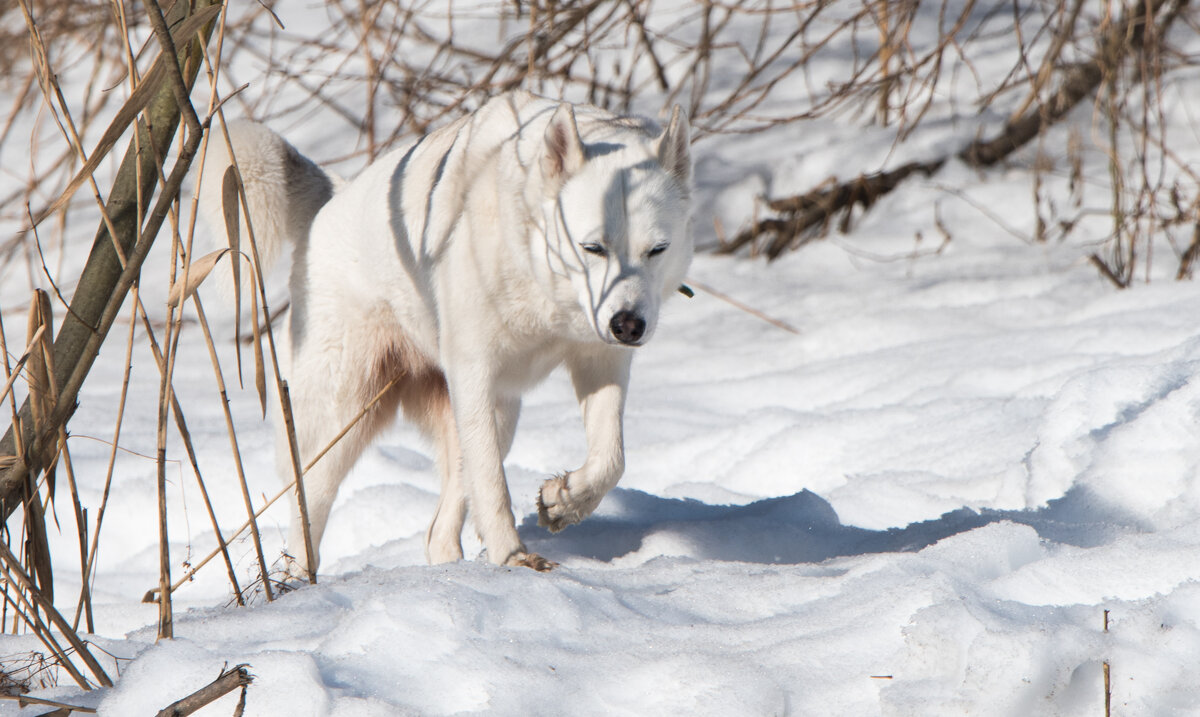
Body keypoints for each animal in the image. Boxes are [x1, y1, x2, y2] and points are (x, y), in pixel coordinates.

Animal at [200, 91, 696, 573]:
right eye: (592, 247)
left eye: (657, 249)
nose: (628, 326)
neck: (543, 285)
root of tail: (332, 198)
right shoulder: (474, 371)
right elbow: (493, 485)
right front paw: (513, 558)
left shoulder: (599, 361)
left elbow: (611, 458)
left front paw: (563, 502)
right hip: (345, 416)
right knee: (310, 509)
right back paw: (299, 580)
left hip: (495, 413)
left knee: (438, 529)